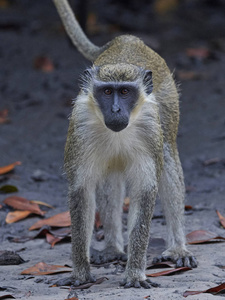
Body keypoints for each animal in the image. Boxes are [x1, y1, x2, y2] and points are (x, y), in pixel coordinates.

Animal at [52, 0, 197, 288]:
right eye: (108, 92)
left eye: (126, 91)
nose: (117, 110)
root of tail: (128, 39)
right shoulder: (80, 128)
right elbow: (82, 191)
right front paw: (80, 272)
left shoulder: (151, 128)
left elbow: (145, 191)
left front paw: (135, 273)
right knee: (111, 176)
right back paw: (112, 249)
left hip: (168, 106)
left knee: (167, 158)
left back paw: (177, 248)